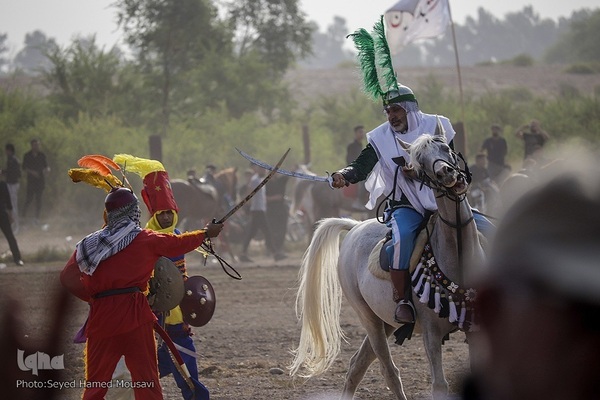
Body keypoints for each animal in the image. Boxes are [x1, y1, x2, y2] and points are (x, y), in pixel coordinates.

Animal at [292, 126, 488, 398]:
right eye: (419, 163)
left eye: (446, 148)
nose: (446, 173)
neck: (457, 256)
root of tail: (354, 226)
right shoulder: (431, 333)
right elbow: (439, 385)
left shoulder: (476, 330)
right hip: (370, 320)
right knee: (389, 371)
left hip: (386, 321)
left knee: (357, 365)